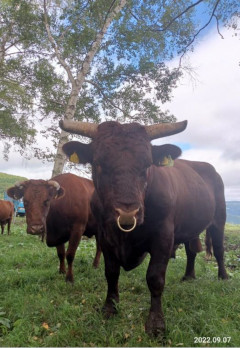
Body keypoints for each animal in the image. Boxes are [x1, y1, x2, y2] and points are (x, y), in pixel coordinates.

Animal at [60, 118, 227, 336]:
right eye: (98, 164)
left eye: (147, 164)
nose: (127, 213)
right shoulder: (105, 236)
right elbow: (111, 272)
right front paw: (110, 308)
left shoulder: (163, 238)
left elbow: (155, 278)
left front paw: (156, 324)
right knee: (191, 250)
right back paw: (188, 276)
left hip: (219, 219)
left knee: (219, 250)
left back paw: (223, 276)